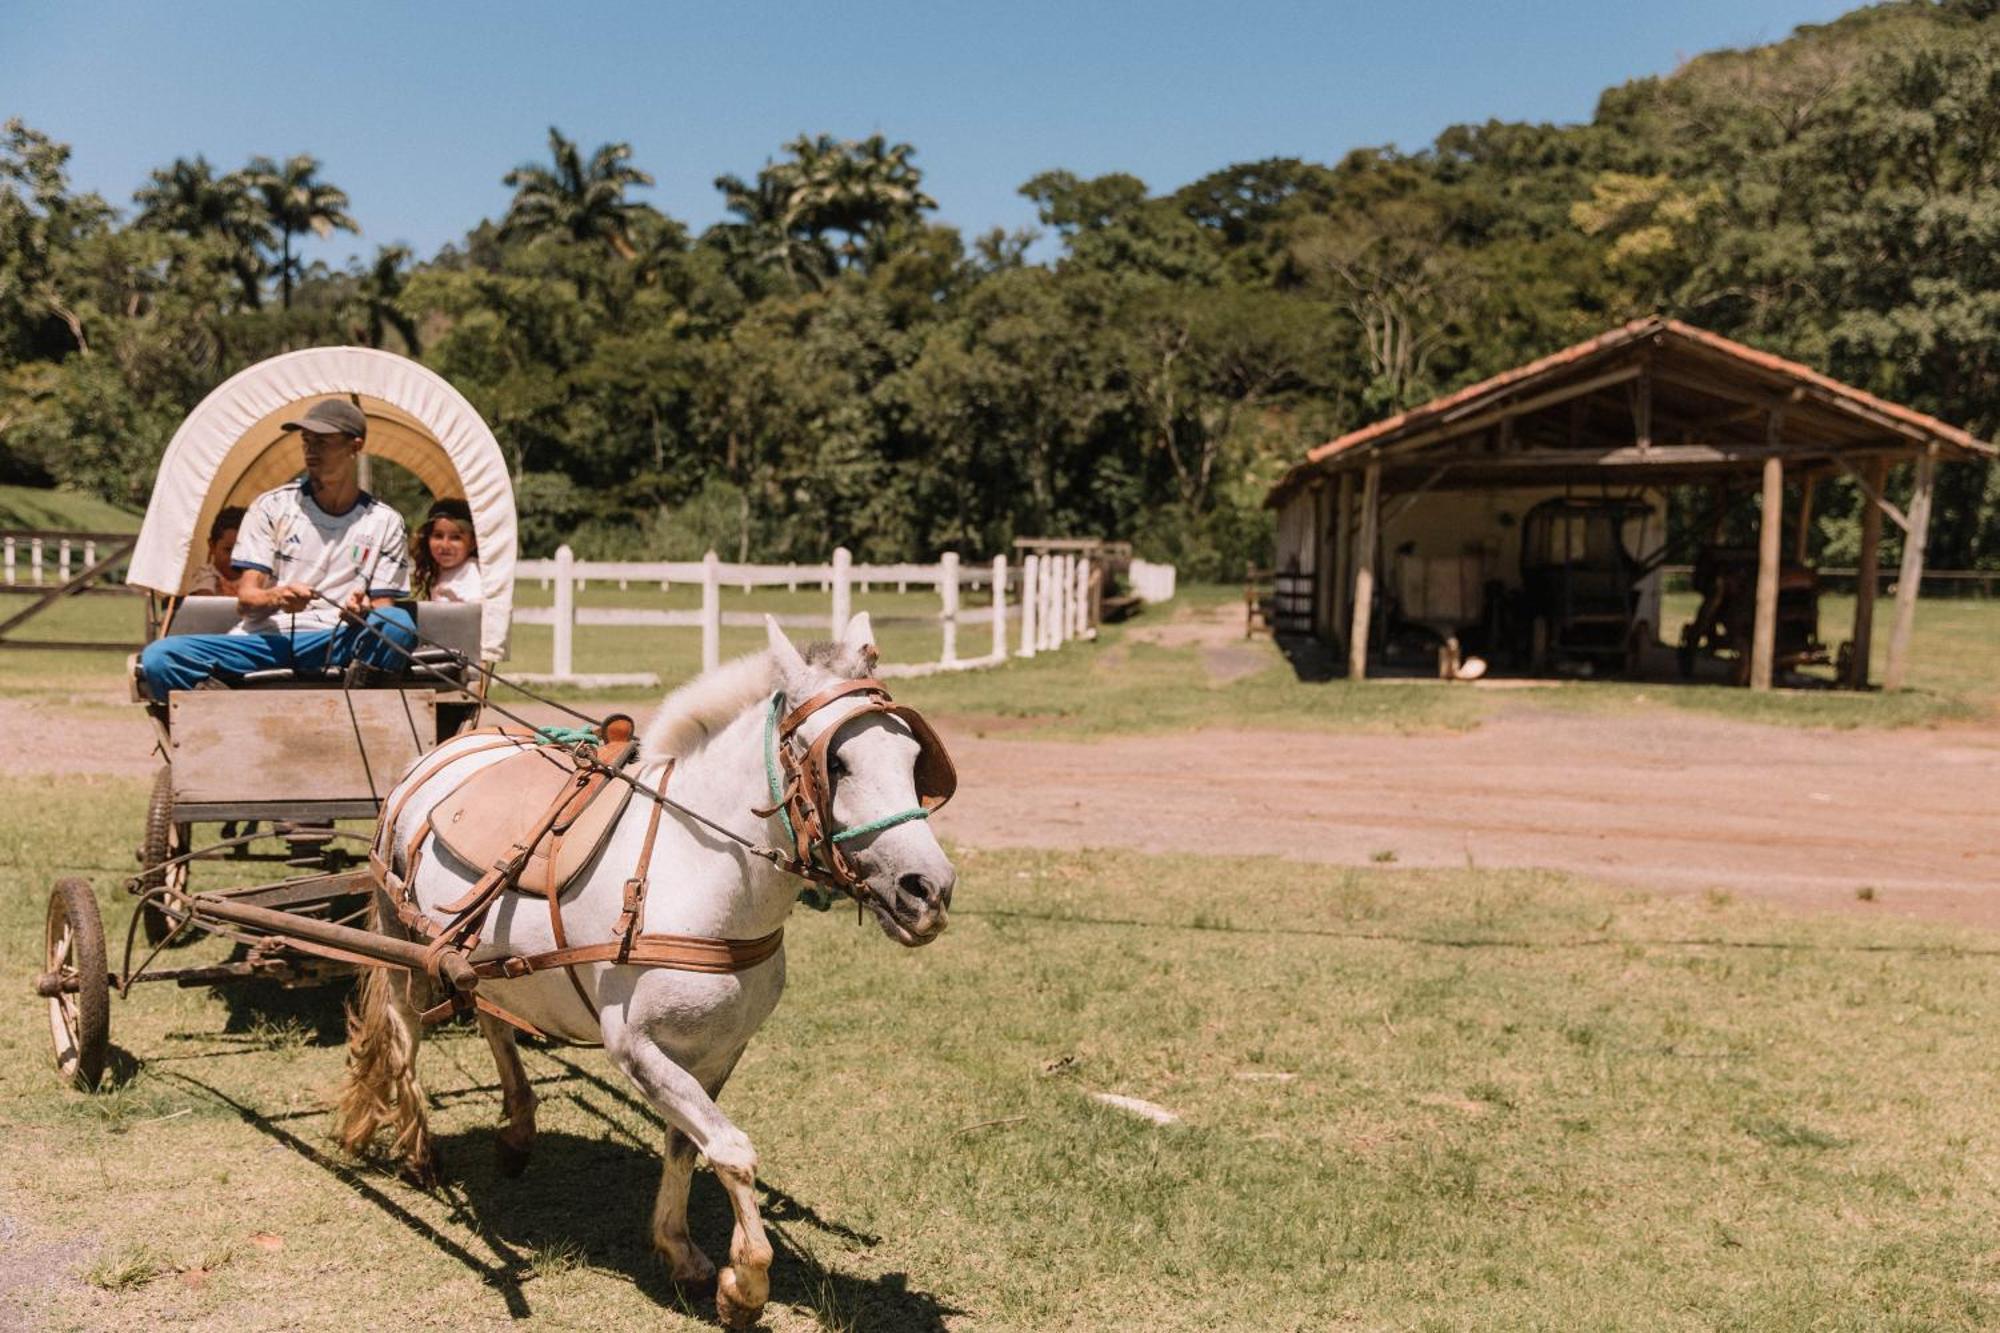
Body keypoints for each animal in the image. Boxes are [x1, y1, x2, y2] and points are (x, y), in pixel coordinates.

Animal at [332, 616, 956, 1320]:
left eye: (913, 758)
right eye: (838, 764)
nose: (928, 890)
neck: (694, 873)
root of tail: (445, 751)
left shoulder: (721, 1048)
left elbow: (690, 1143)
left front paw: (680, 1250)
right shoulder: (635, 1047)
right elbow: (733, 1150)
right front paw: (745, 1283)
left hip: (485, 956)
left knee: (493, 1022)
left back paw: (517, 1130)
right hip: (402, 939)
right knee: (402, 1032)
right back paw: (418, 1150)